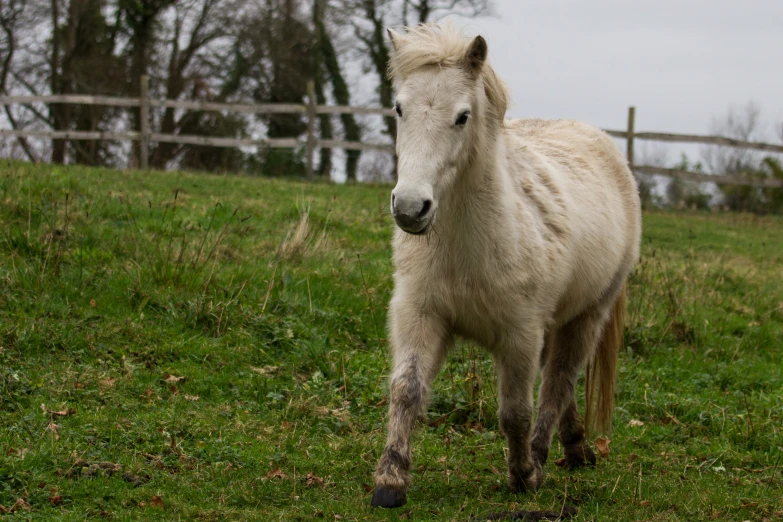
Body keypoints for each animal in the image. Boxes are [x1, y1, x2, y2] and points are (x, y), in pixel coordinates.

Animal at [374, 22, 644, 506]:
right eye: (399, 108)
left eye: (462, 116)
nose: (409, 207)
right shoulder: (420, 315)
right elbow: (406, 390)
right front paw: (390, 479)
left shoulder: (520, 334)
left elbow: (516, 411)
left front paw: (522, 475)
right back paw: (575, 447)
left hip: (588, 315)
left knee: (559, 380)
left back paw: (543, 456)